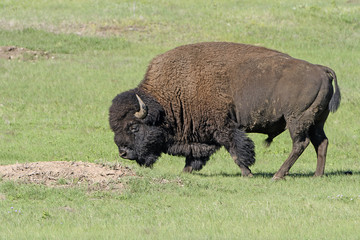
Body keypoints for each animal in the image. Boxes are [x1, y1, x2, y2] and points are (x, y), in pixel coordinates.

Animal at [109, 42, 340, 179]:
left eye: (134, 127)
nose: (123, 153)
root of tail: (320, 69)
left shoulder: (223, 127)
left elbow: (236, 150)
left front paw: (247, 173)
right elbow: (195, 155)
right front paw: (185, 171)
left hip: (297, 121)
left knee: (300, 144)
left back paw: (278, 175)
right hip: (316, 121)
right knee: (321, 143)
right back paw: (317, 175)